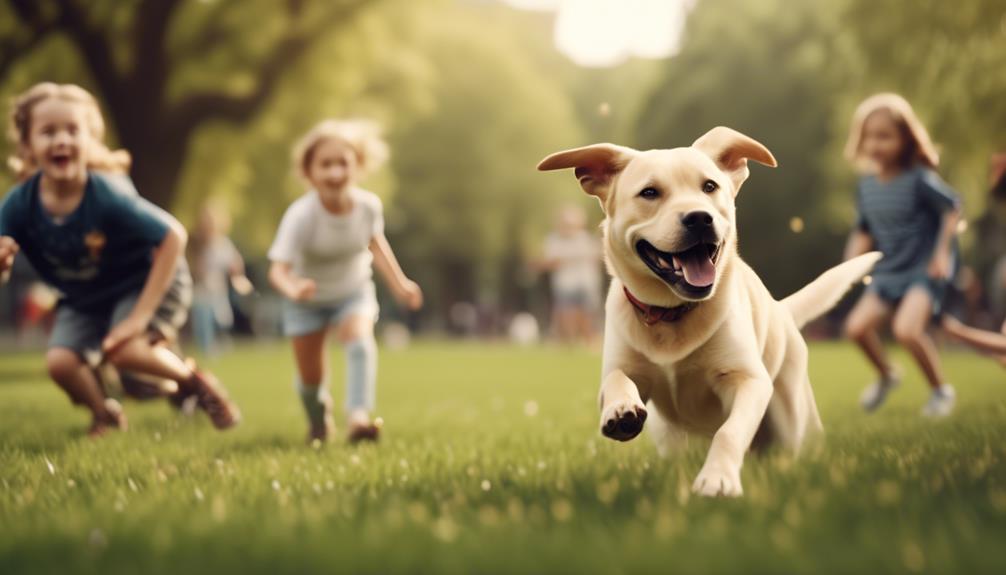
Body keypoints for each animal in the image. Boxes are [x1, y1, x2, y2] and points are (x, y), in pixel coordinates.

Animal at [539, 128, 877, 496]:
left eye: (710, 186)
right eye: (649, 192)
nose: (700, 217)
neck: (671, 313)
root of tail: (780, 310)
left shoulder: (748, 380)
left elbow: (729, 432)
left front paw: (718, 479)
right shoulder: (623, 364)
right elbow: (616, 379)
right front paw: (621, 410)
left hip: (792, 419)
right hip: (670, 436)